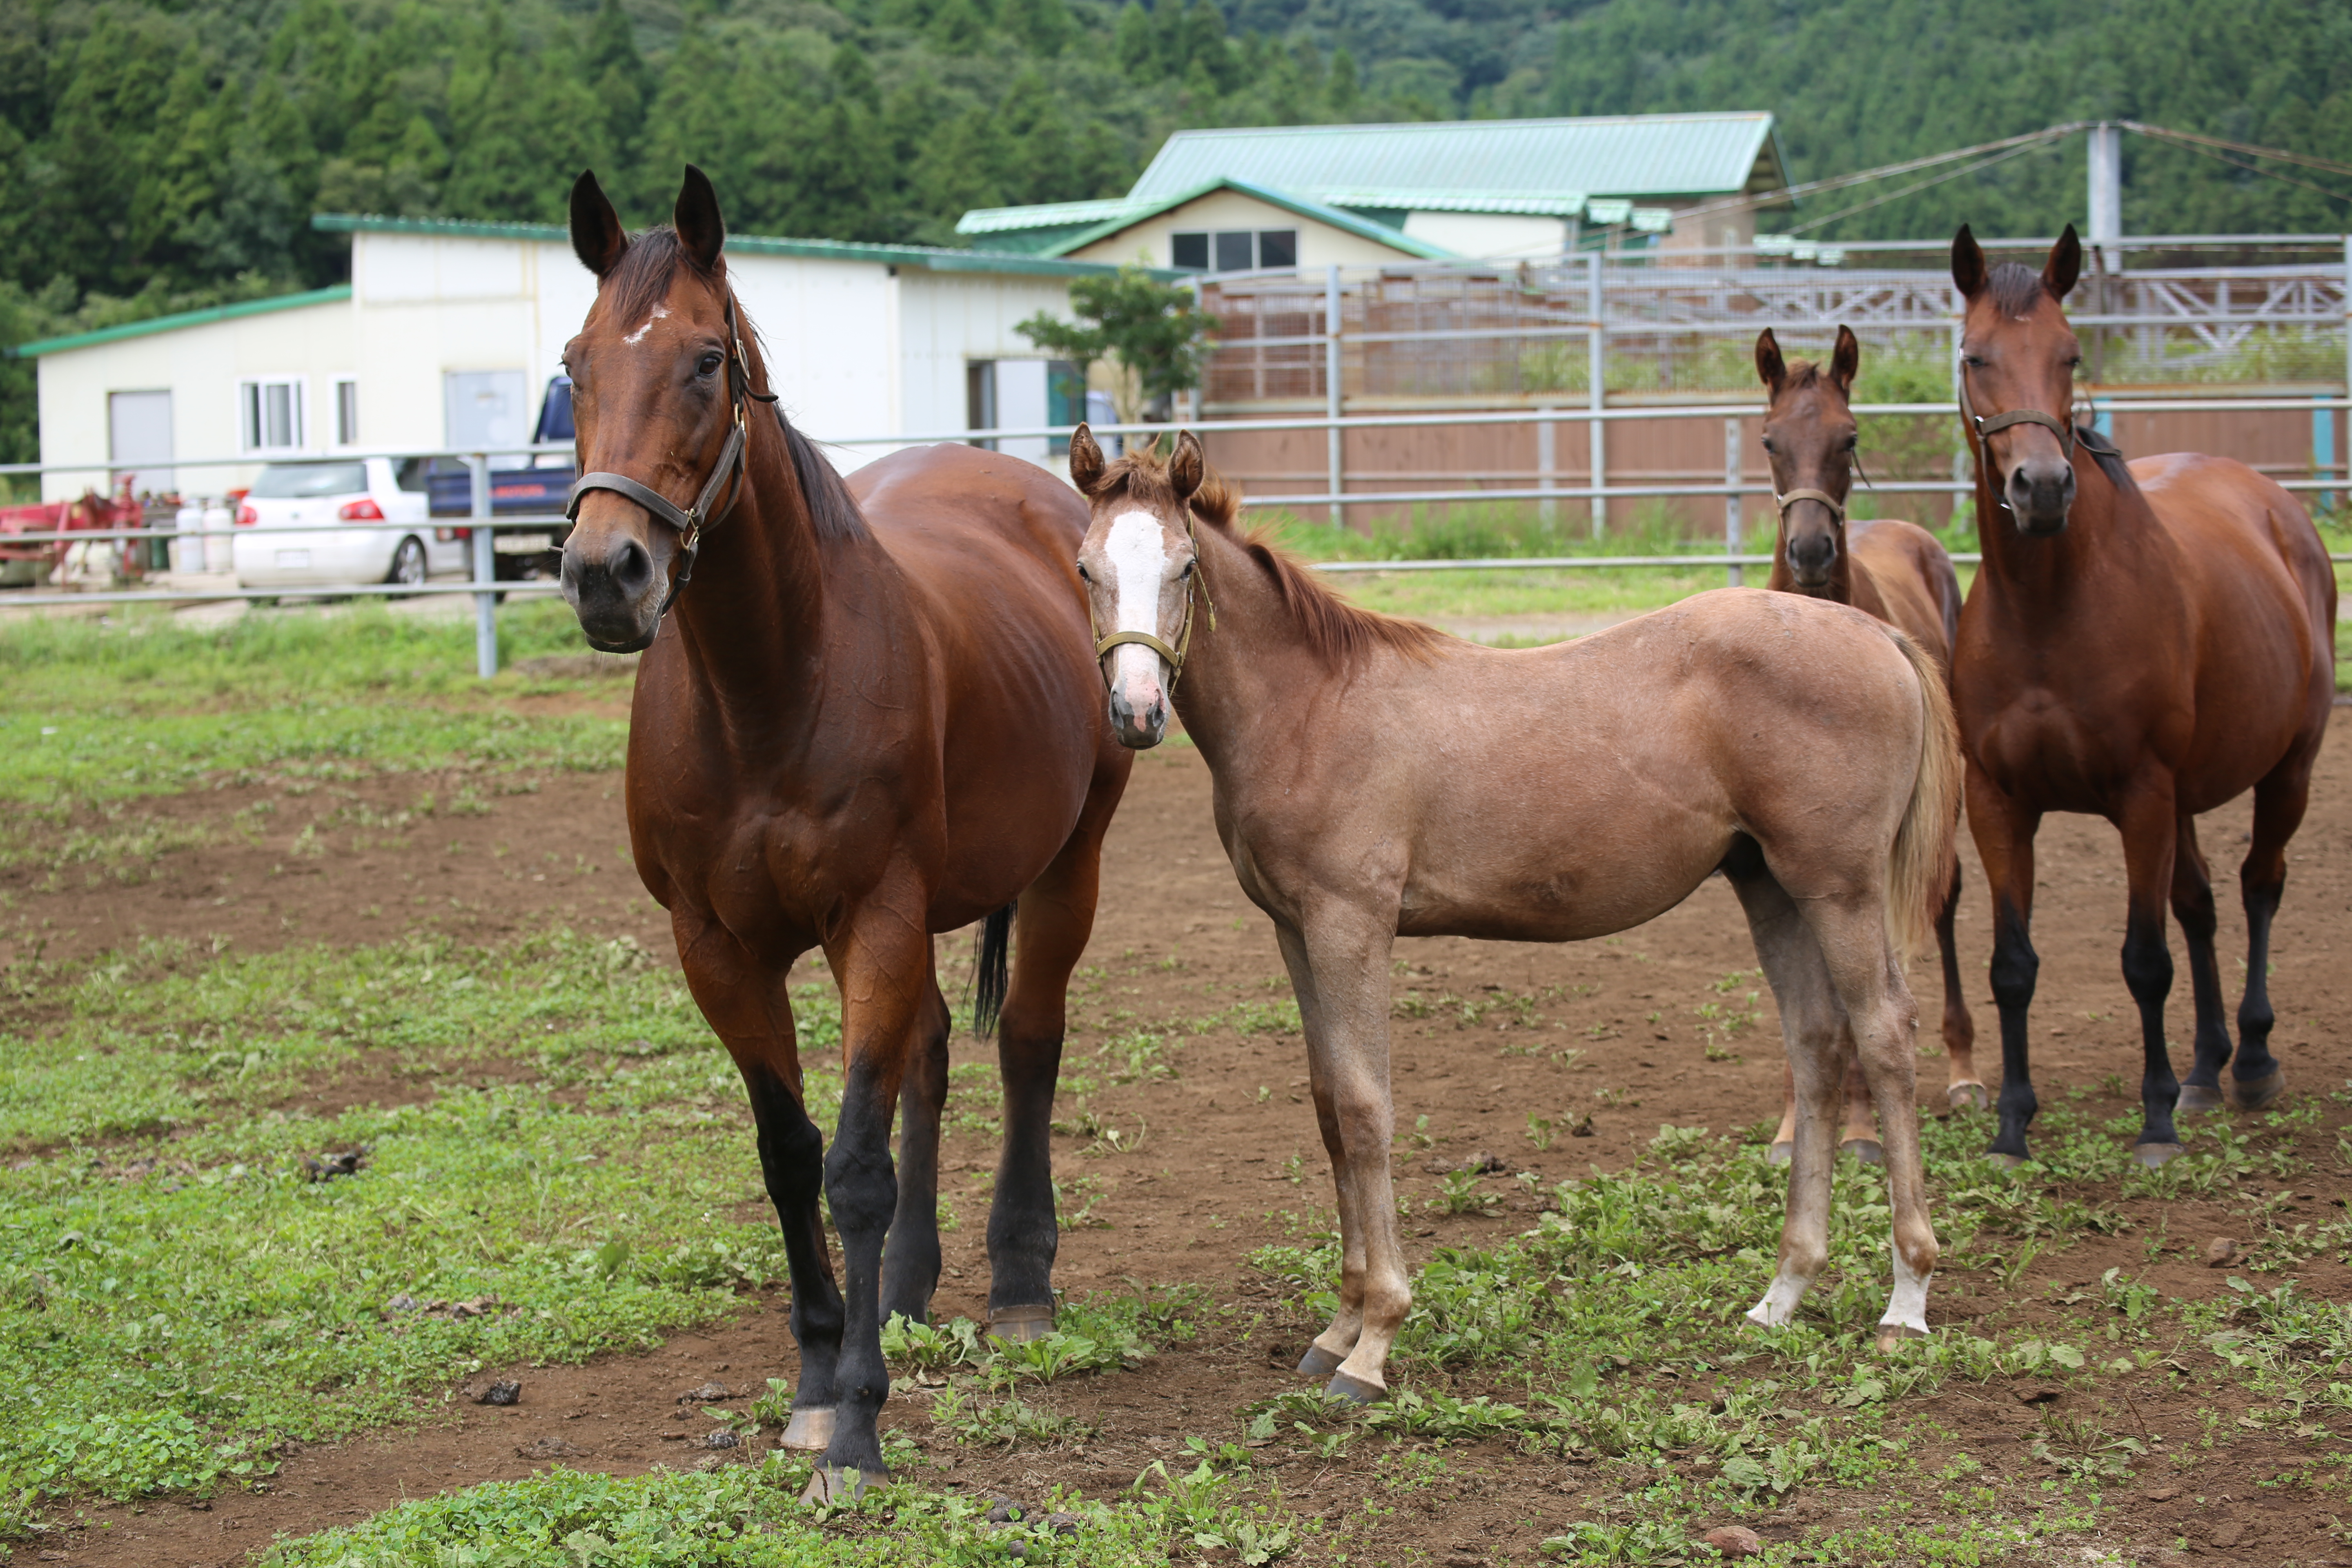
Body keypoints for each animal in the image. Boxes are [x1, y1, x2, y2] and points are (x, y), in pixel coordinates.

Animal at [559, 169, 1129, 1495]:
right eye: (573, 365)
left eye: (705, 360)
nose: (608, 572)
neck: (770, 687)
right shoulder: (720, 945)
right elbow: (788, 1153)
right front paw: (820, 1380)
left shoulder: (872, 916)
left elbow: (854, 1167)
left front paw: (860, 1423)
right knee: (930, 1052)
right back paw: (912, 1287)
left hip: (1068, 862)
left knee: (1028, 1042)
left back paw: (1019, 1278)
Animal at [1077, 430, 1966, 1401]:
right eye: (1086, 567)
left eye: (1186, 566)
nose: (1135, 713)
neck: (1311, 708)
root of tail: (1877, 633)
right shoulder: (1295, 931)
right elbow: (1327, 1109)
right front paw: (1336, 1326)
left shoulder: (1352, 927)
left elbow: (1365, 1109)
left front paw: (1374, 1343)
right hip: (1771, 884)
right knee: (1816, 1047)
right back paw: (1782, 1295)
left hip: (1841, 888)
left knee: (1884, 1037)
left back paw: (1906, 1302)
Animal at [1759, 324, 1976, 1166]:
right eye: (1769, 439)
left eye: (1849, 437)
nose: (1813, 549)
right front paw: (1795, 1121)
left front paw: (1854, 1123)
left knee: (1943, 905)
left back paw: (1964, 1071)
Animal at [1947, 227, 2333, 1171]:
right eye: (1976, 356)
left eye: (2070, 354)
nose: (2043, 488)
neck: (2048, 609)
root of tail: (2276, 507)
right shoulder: (1998, 801)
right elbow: (2013, 965)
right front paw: (2011, 1125)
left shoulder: (2141, 795)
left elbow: (2144, 960)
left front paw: (2155, 1123)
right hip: (2189, 798)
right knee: (2199, 906)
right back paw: (2203, 1068)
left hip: (2287, 772)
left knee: (2258, 886)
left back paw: (2251, 1060)